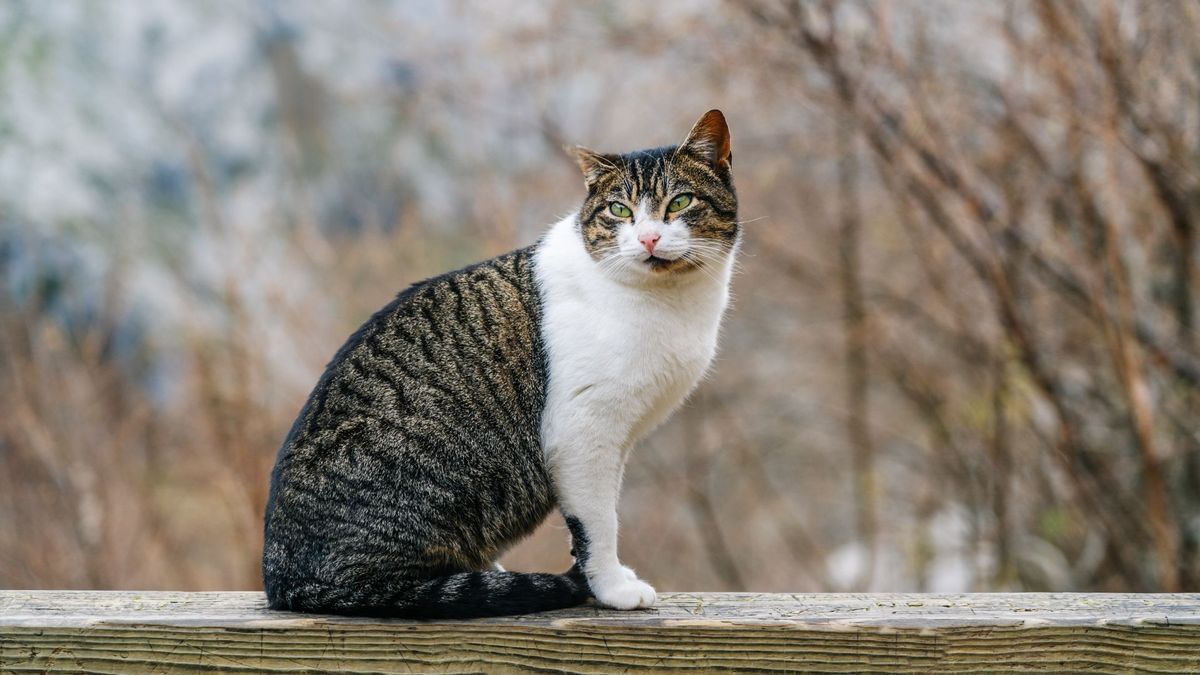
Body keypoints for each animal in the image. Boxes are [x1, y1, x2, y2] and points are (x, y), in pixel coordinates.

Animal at [262, 106, 739, 614]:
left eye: (679, 202)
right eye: (620, 211)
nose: (648, 238)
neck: (672, 303)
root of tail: (280, 578)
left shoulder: (617, 440)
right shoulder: (582, 433)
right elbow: (598, 524)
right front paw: (612, 588)